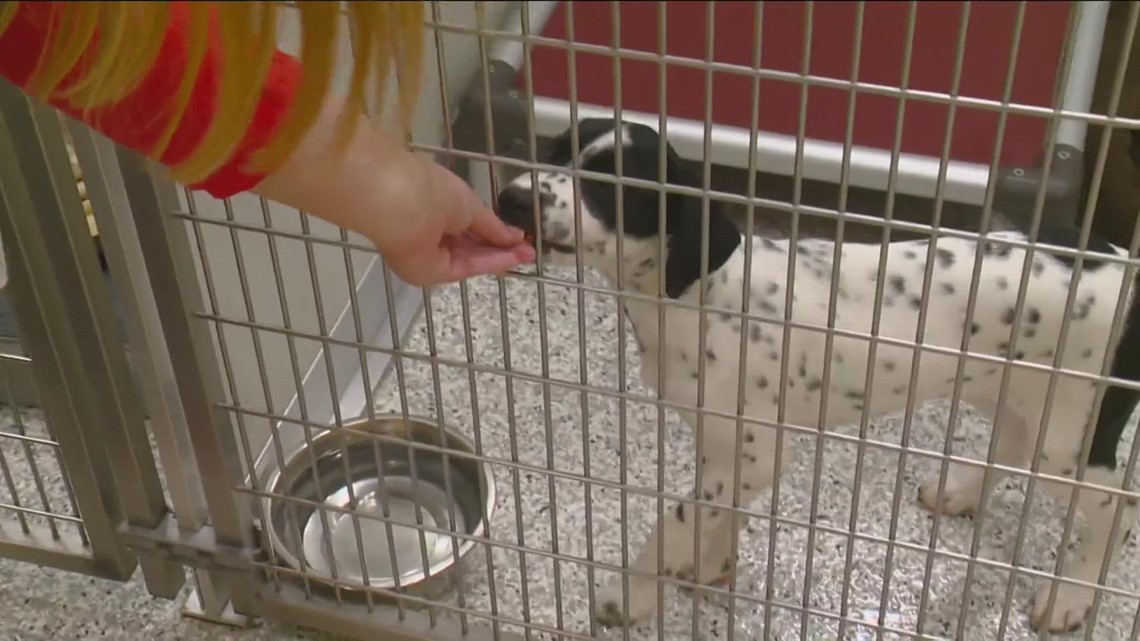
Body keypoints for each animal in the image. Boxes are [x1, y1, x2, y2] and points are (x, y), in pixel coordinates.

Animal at [492, 117, 1140, 629]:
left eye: (612, 186)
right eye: (551, 151)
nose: (511, 198)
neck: (701, 296)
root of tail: (1122, 261)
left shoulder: (757, 452)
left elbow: (672, 522)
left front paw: (633, 595)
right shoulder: (723, 446)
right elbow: (714, 513)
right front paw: (709, 564)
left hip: (1071, 438)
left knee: (1116, 509)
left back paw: (1071, 596)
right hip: (1011, 393)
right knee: (1011, 444)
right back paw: (961, 491)